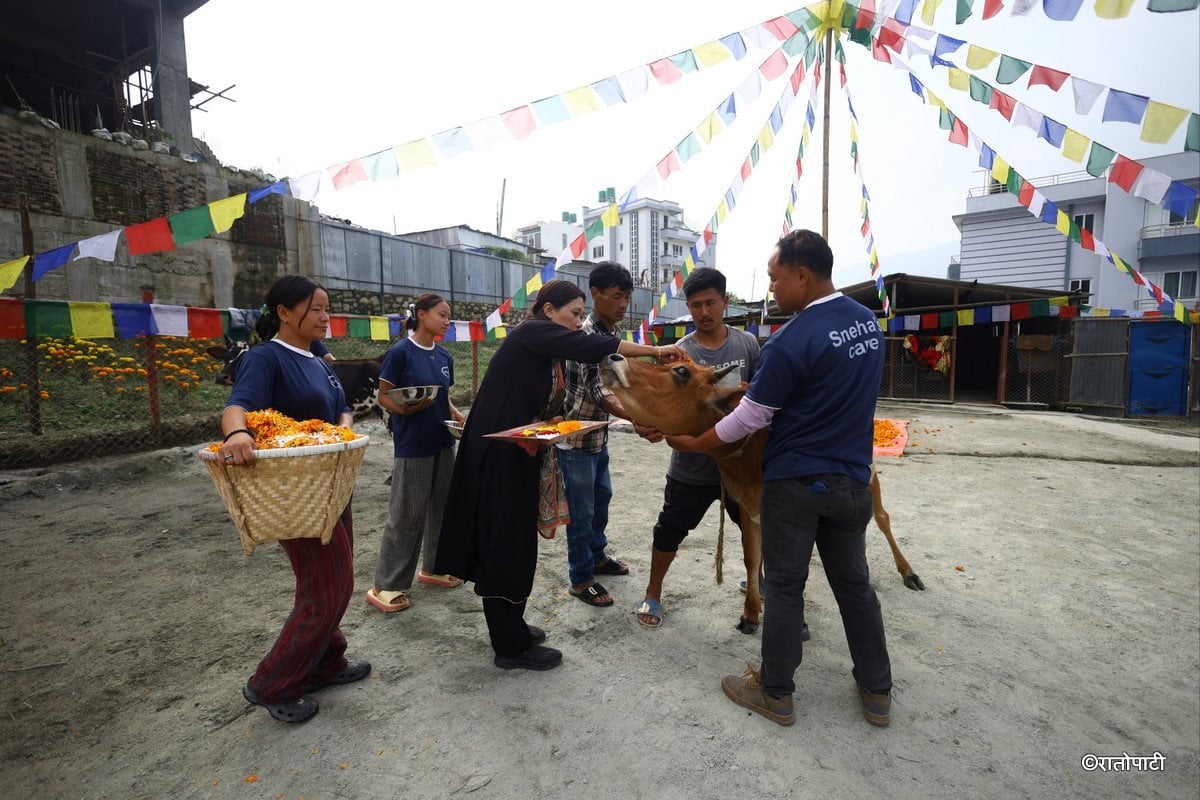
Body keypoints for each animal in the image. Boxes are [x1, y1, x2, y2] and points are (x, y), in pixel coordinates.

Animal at [600, 352, 926, 633]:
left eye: (681, 371)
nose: (612, 356)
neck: (750, 448)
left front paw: (797, 623)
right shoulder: (749, 509)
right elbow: (752, 557)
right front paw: (751, 613)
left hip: (870, 476)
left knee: (882, 517)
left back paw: (909, 573)